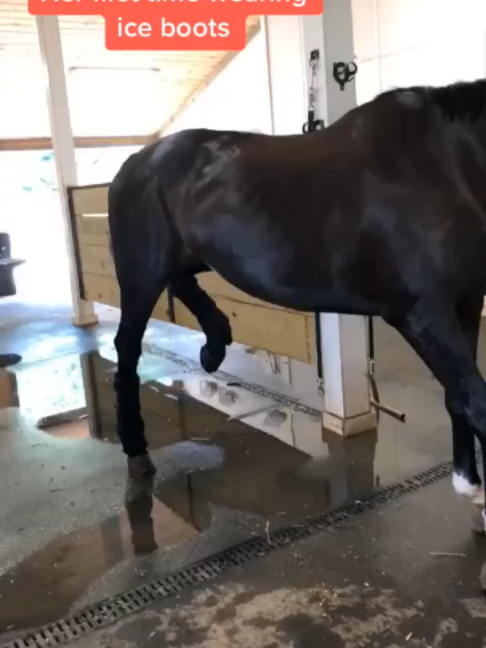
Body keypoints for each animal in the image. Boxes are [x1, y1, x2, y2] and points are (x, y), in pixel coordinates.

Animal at [108, 77, 486, 528]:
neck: (445, 164)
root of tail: (137, 159)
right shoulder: (423, 316)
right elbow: (477, 401)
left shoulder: (464, 306)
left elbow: (459, 397)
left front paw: (471, 487)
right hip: (141, 275)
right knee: (127, 349)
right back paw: (136, 451)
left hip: (186, 256)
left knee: (182, 284)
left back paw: (215, 345)